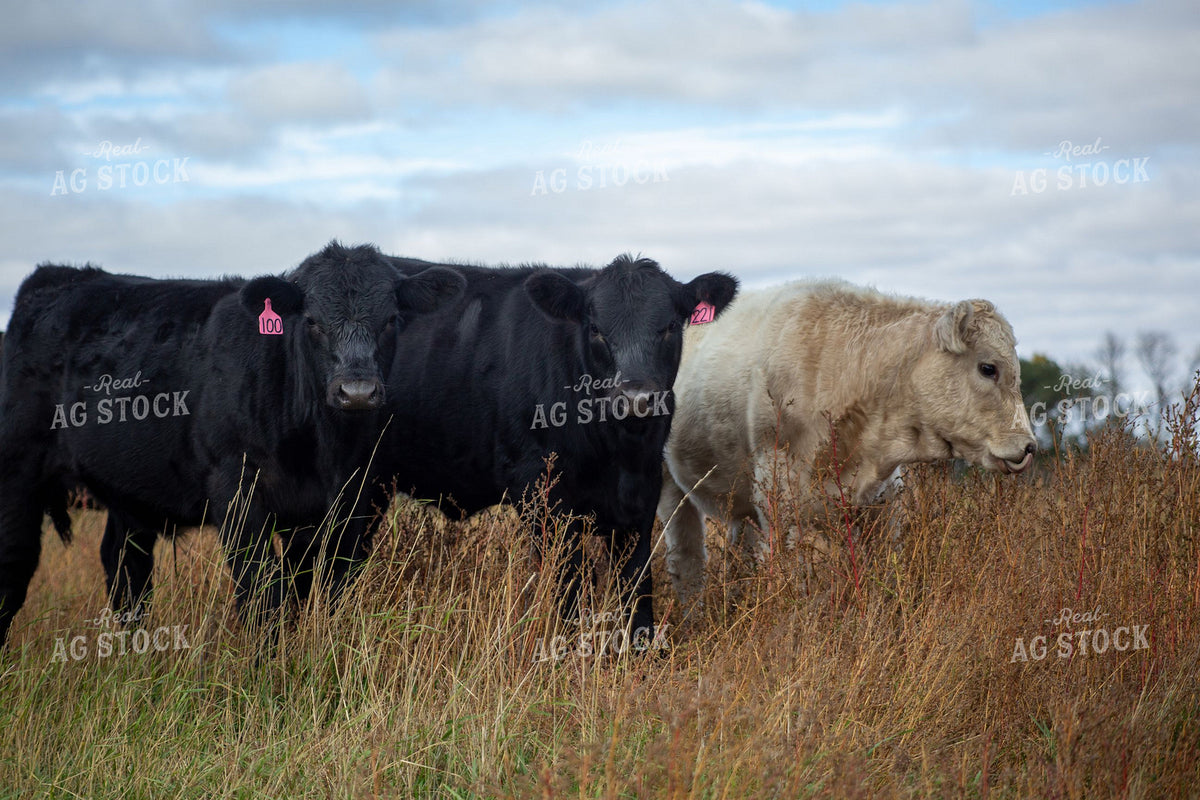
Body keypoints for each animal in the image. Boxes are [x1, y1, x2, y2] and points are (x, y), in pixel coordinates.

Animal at [0, 242, 464, 646]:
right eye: (312, 321)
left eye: (390, 320)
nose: (357, 391)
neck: (319, 449)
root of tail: (54, 278)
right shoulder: (237, 491)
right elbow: (262, 594)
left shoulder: (349, 502)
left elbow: (324, 590)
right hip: (17, 471)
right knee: (15, 567)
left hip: (130, 489)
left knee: (125, 566)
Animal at [383, 253, 738, 642]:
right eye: (595, 329)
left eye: (671, 325)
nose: (635, 398)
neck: (616, 455)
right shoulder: (540, 496)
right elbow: (572, 587)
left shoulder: (643, 495)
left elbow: (636, 587)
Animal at [658, 279, 1037, 609]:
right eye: (988, 368)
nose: (1029, 446)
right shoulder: (782, 502)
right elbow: (796, 585)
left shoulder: (884, 502)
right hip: (671, 488)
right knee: (687, 563)